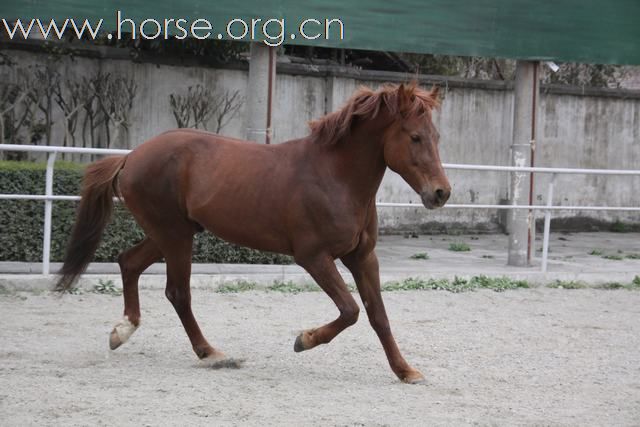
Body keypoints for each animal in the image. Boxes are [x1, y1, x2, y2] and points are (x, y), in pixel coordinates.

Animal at [56, 83, 450, 384]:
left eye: (436, 136)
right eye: (415, 137)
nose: (441, 193)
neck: (336, 177)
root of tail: (131, 156)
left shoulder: (362, 257)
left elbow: (377, 315)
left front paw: (406, 371)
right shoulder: (314, 257)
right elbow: (350, 310)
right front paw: (304, 340)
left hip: (170, 233)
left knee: (129, 262)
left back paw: (122, 332)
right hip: (174, 235)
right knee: (177, 292)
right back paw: (211, 353)